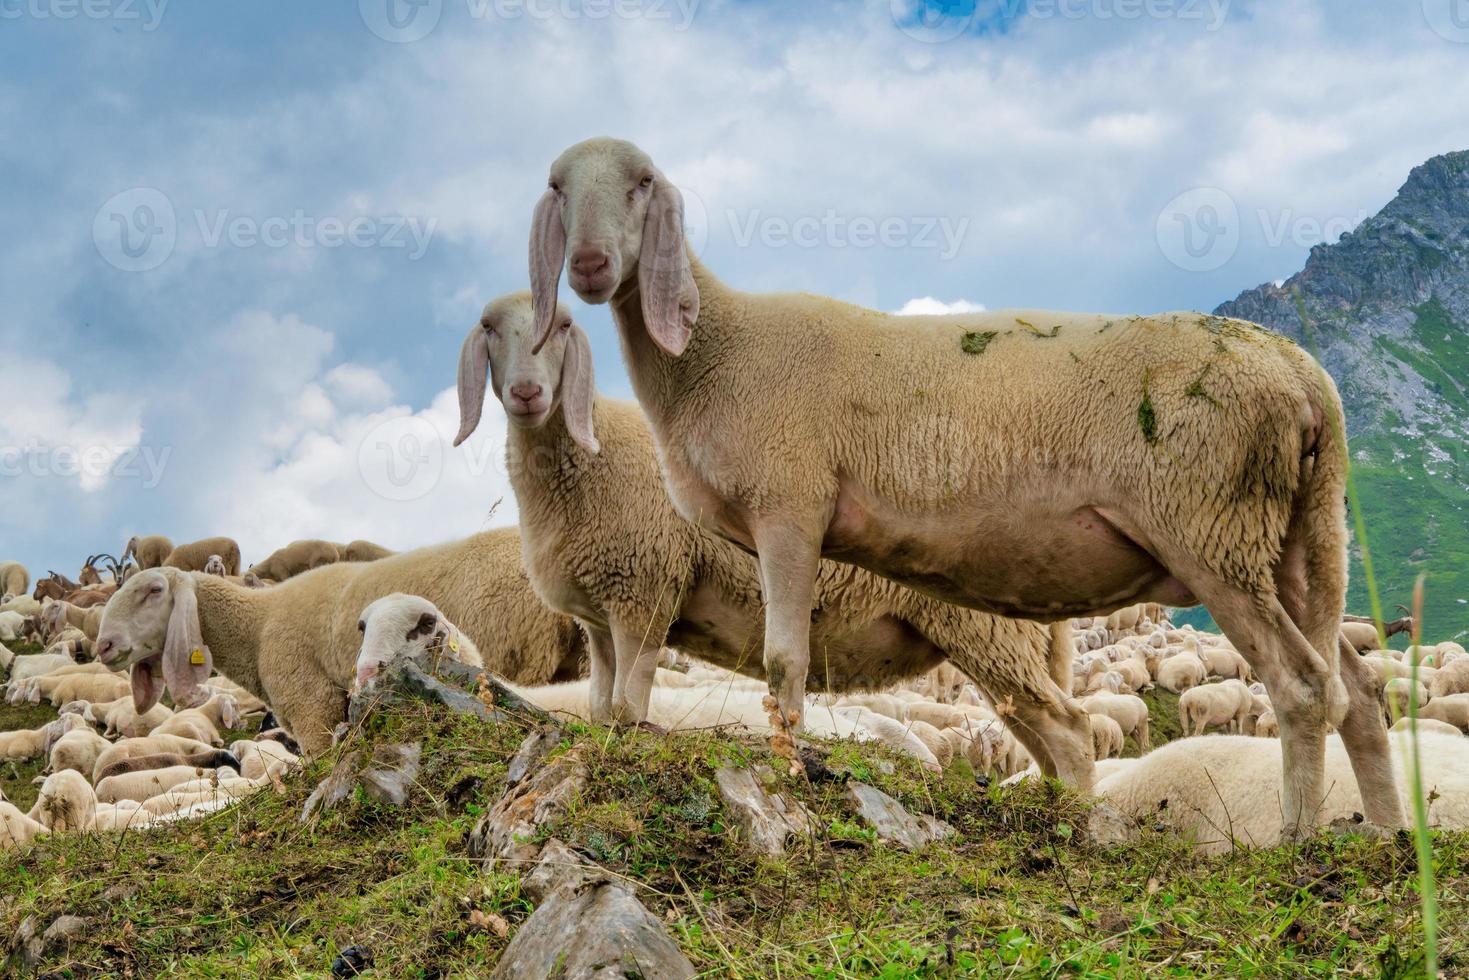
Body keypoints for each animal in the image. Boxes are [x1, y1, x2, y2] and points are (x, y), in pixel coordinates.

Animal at [455, 293, 1092, 787]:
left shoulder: (644, 593)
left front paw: (630, 743)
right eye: (489, 327)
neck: (581, 463)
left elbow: (627, 703)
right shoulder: (598, 615)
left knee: (1071, 731)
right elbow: (599, 706)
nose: (528, 393)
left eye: (563, 327)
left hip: (990, 634)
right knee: (1044, 738)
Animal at [522, 138, 1392, 840]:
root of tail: (1301, 374)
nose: (590, 267)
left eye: (641, 183)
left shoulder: (788, 510)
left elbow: (781, 662)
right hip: (1298, 534)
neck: (718, 348)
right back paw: (1383, 834)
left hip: (1213, 530)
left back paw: (1296, 841)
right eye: (557, 186)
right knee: (1355, 687)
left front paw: (789, 767)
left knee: (1301, 685)